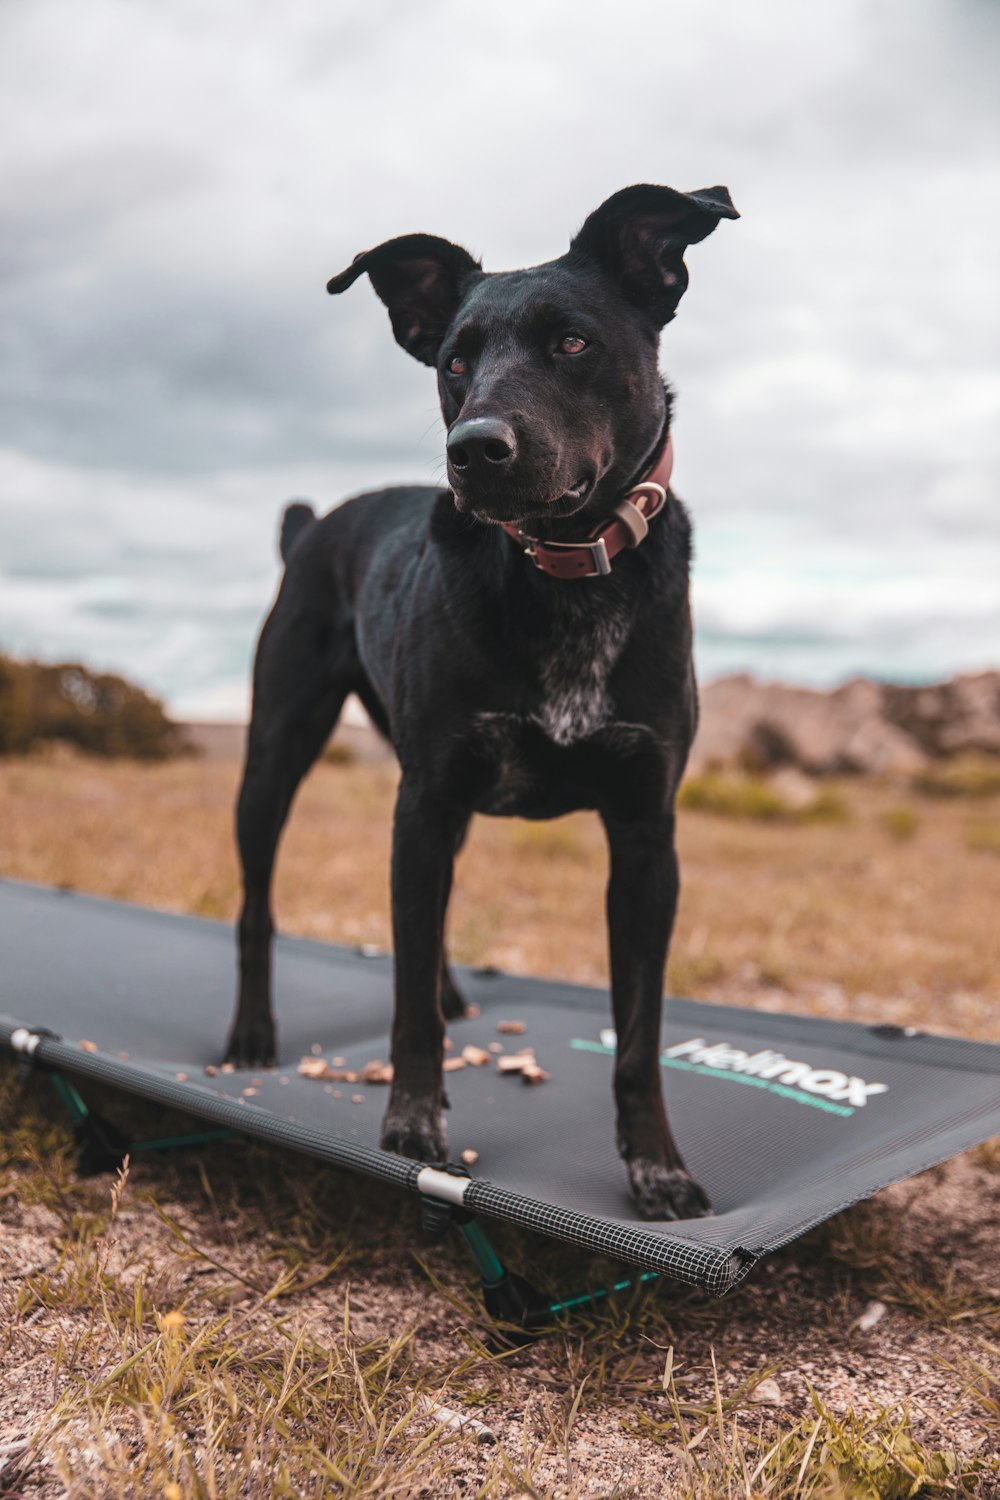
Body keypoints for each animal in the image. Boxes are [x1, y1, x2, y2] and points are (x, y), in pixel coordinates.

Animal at [230, 184, 740, 1218]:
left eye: (573, 342)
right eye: (455, 361)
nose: (475, 449)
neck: (564, 572)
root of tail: (316, 524)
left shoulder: (645, 838)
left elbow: (639, 1037)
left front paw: (658, 1167)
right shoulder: (423, 803)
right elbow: (407, 1011)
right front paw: (411, 1127)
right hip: (277, 752)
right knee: (260, 905)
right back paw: (253, 1033)